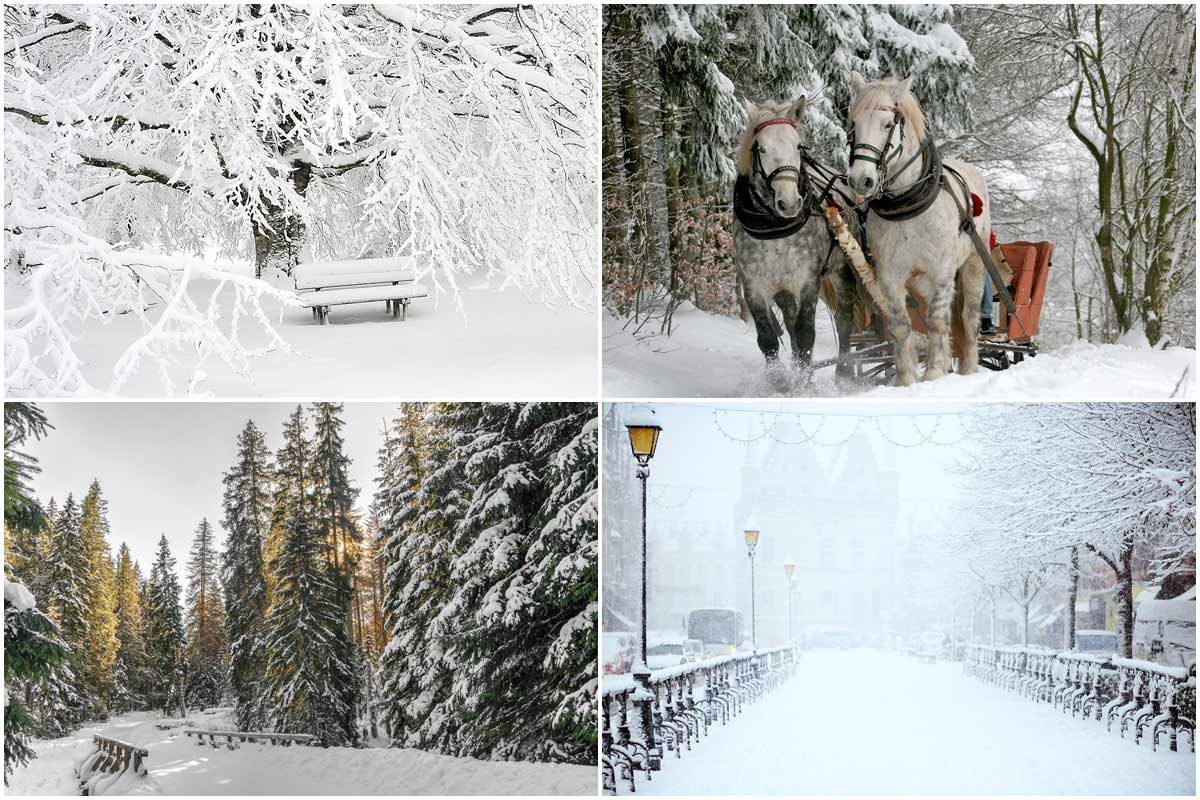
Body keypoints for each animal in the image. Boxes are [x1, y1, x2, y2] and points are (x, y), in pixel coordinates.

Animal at [844, 73, 984, 386]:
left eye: (887, 125)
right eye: (854, 124)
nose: (861, 180)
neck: (907, 203)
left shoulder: (942, 270)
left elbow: (937, 321)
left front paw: (933, 373)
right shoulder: (890, 274)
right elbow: (900, 325)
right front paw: (906, 378)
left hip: (973, 265)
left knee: (968, 318)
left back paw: (968, 368)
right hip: (920, 279)